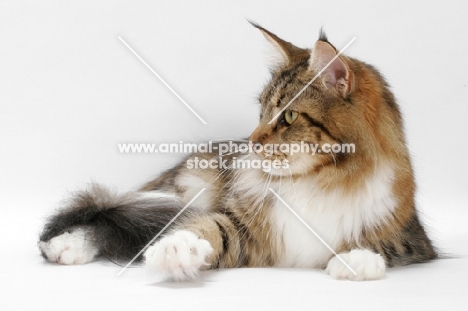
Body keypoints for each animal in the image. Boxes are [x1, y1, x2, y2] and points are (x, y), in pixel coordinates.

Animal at [38, 23, 436, 282]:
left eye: (289, 115)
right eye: (262, 110)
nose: (252, 142)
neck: (320, 181)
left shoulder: (412, 238)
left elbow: (380, 242)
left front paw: (356, 260)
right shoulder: (246, 227)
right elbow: (209, 229)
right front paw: (176, 250)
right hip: (182, 192)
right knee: (120, 215)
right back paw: (65, 246)